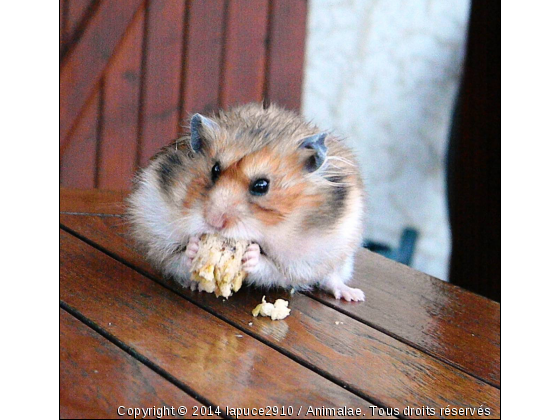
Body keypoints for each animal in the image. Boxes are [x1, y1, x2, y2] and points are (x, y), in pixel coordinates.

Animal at [126, 103, 368, 300]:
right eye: (214, 170)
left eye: (261, 186)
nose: (213, 222)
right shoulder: (155, 228)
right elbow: (176, 255)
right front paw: (194, 246)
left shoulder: (302, 259)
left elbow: (273, 267)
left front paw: (251, 255)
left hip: (342, 257)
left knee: (332, 278)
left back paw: (353, 295)